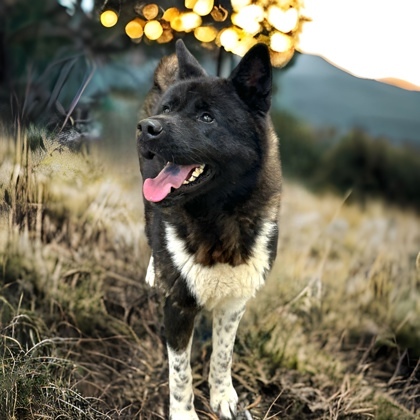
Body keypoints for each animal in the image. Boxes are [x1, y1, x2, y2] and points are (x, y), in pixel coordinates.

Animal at [137, 40, 282, 420]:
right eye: (169, 108)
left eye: (207, 117)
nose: (147, 128)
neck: (217, 217)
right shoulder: (178, 306)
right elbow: (180, 373)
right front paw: (185, 413)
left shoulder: (235, 303)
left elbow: (222, 355)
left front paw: (223, 397)